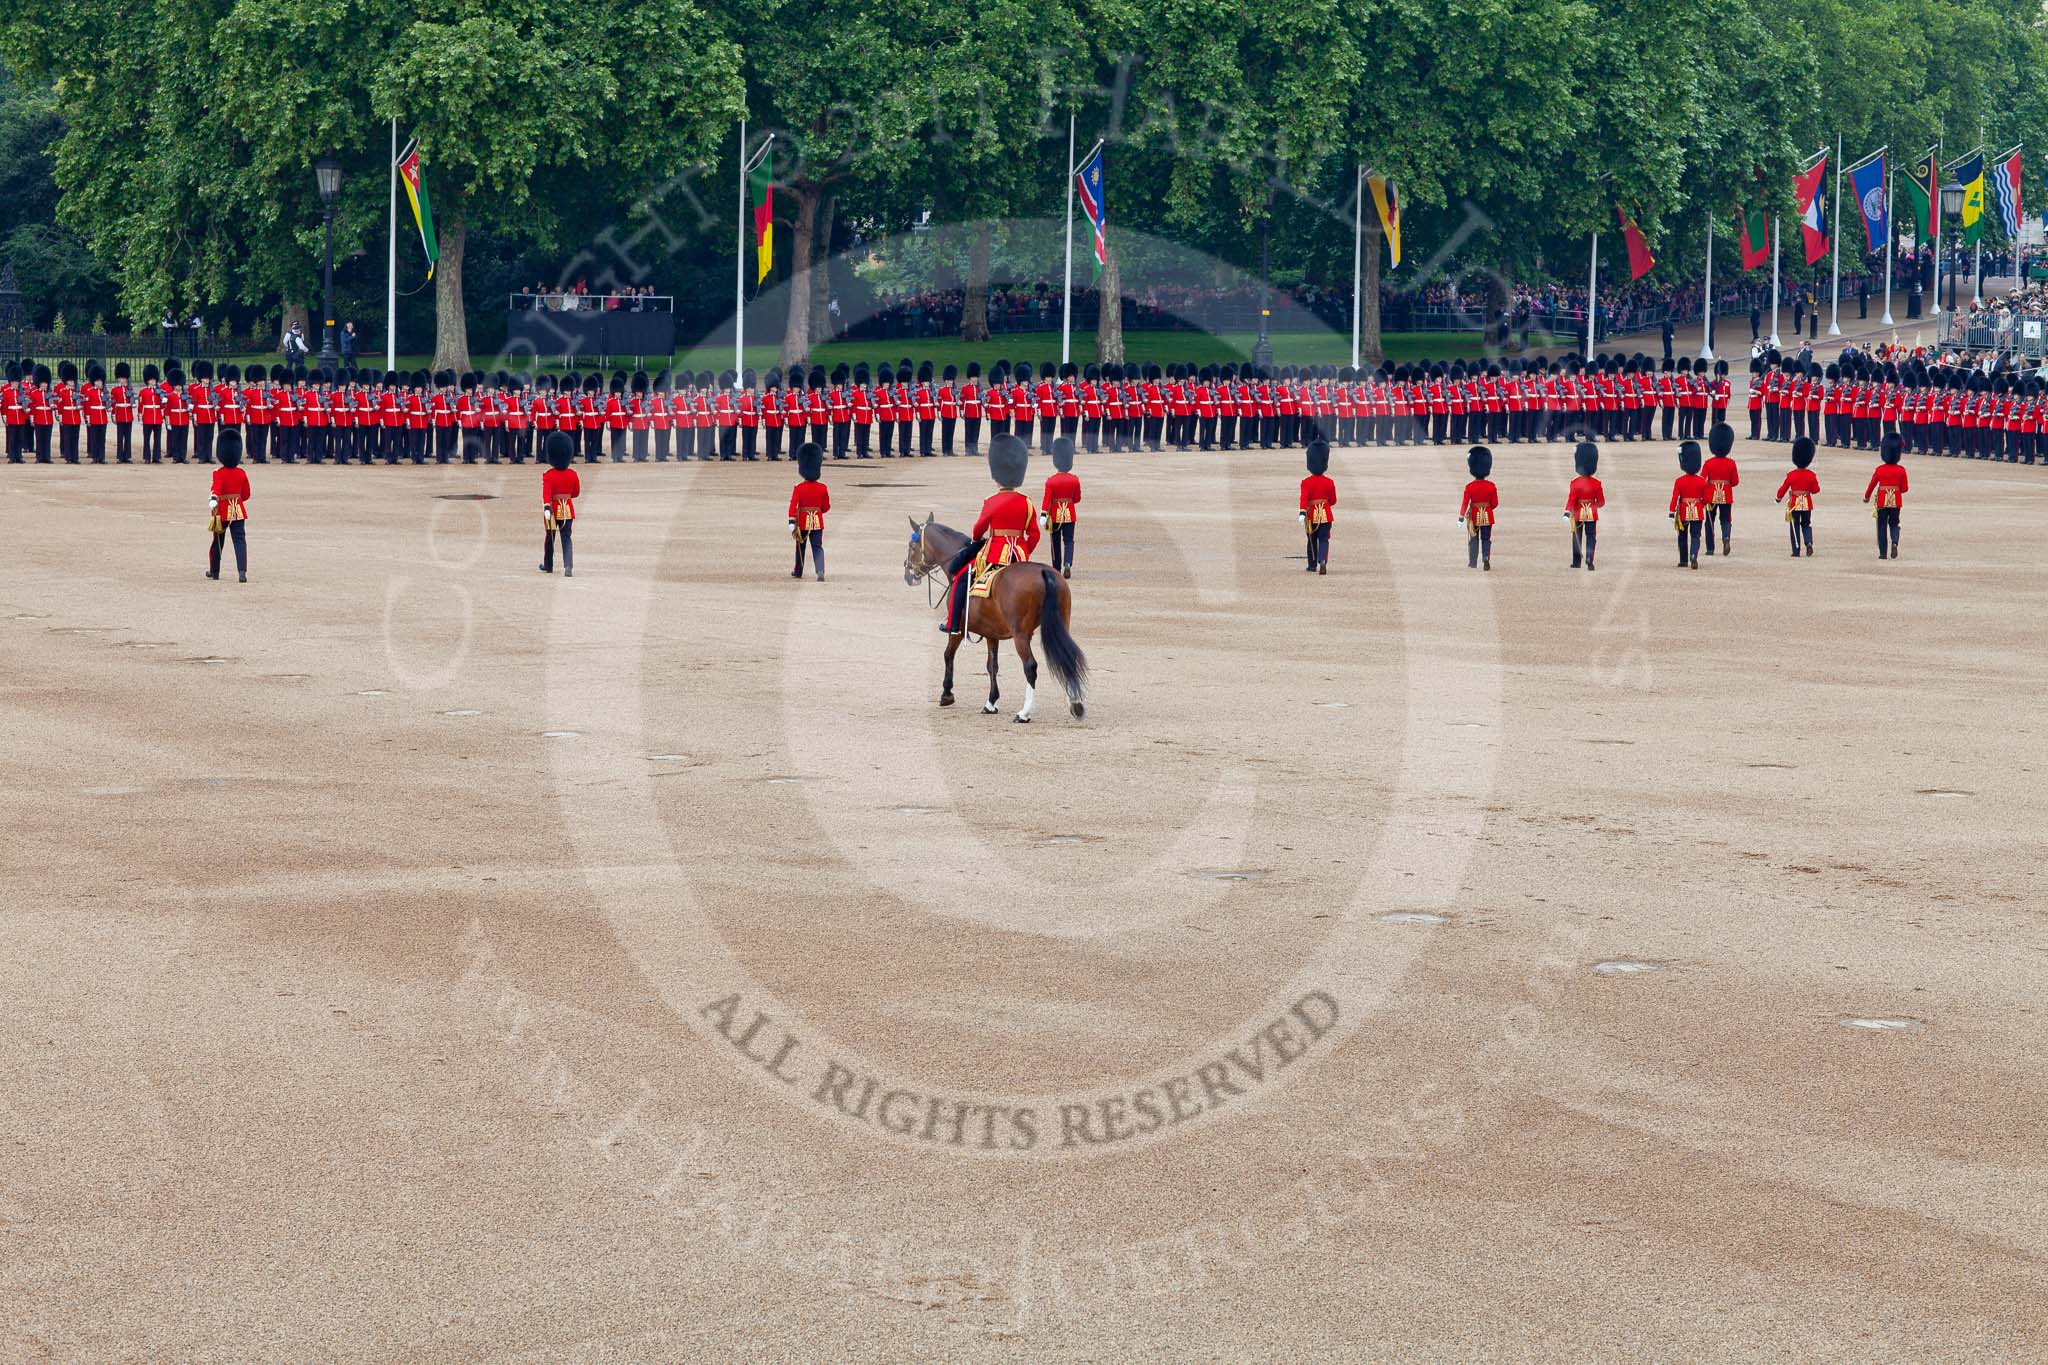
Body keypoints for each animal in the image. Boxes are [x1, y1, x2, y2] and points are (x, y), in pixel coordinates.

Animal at [901, 515, 1089, 724]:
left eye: (911, 545)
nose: (908, 575)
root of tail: (1044, 572)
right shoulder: (992, 633)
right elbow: (992, 665)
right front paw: (991, 702)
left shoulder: (957, 628)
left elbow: (948, 655)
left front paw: (946, 694)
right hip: (1062, 624)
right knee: (1068, 657)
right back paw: (1076, 704)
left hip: (1020, 635)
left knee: (1030, 666)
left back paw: (1024, 713)